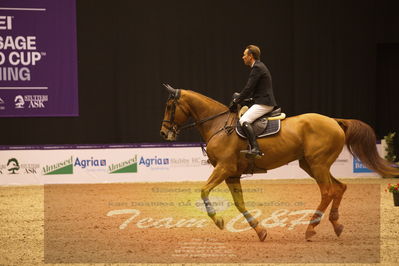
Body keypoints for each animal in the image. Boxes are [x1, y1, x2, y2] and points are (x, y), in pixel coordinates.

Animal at [160, 85, 399, 241]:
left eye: (170, 106)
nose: (164, 133)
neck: (219, 124)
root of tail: (334, 121)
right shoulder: (232, 174)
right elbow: (240, 203)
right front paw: (260, 231)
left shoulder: (224, 168)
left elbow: (204, 191)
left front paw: (218, 221)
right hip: (311, 165)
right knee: (339, 187)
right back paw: (336, 224)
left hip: (318, 164)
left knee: (328, 191)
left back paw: (311, 229)